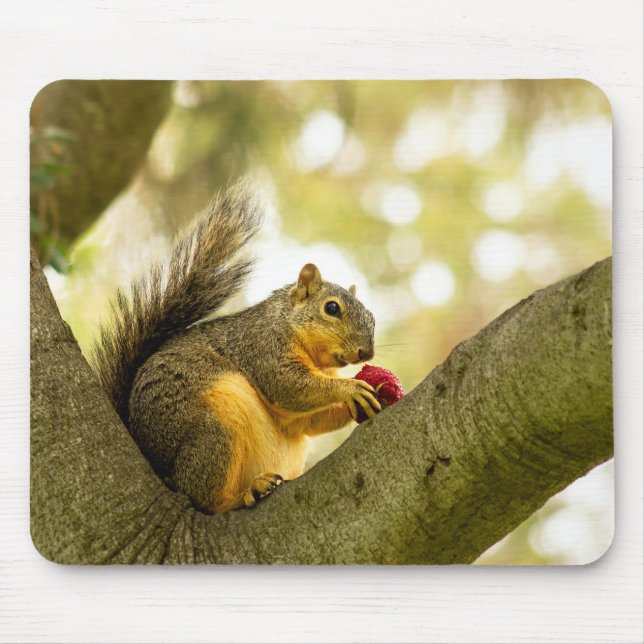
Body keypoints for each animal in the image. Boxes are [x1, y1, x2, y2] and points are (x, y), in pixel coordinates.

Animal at [92, 182, 382, 513]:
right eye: (331, 308)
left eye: (372, 317)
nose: (366, 353)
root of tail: (159, 467)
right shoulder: (262, 346)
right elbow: (288, 385)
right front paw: (351, 388)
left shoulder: (299, 411)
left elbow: (311, 420)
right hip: (214, 432)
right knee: (203, 498)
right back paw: (247, 492)